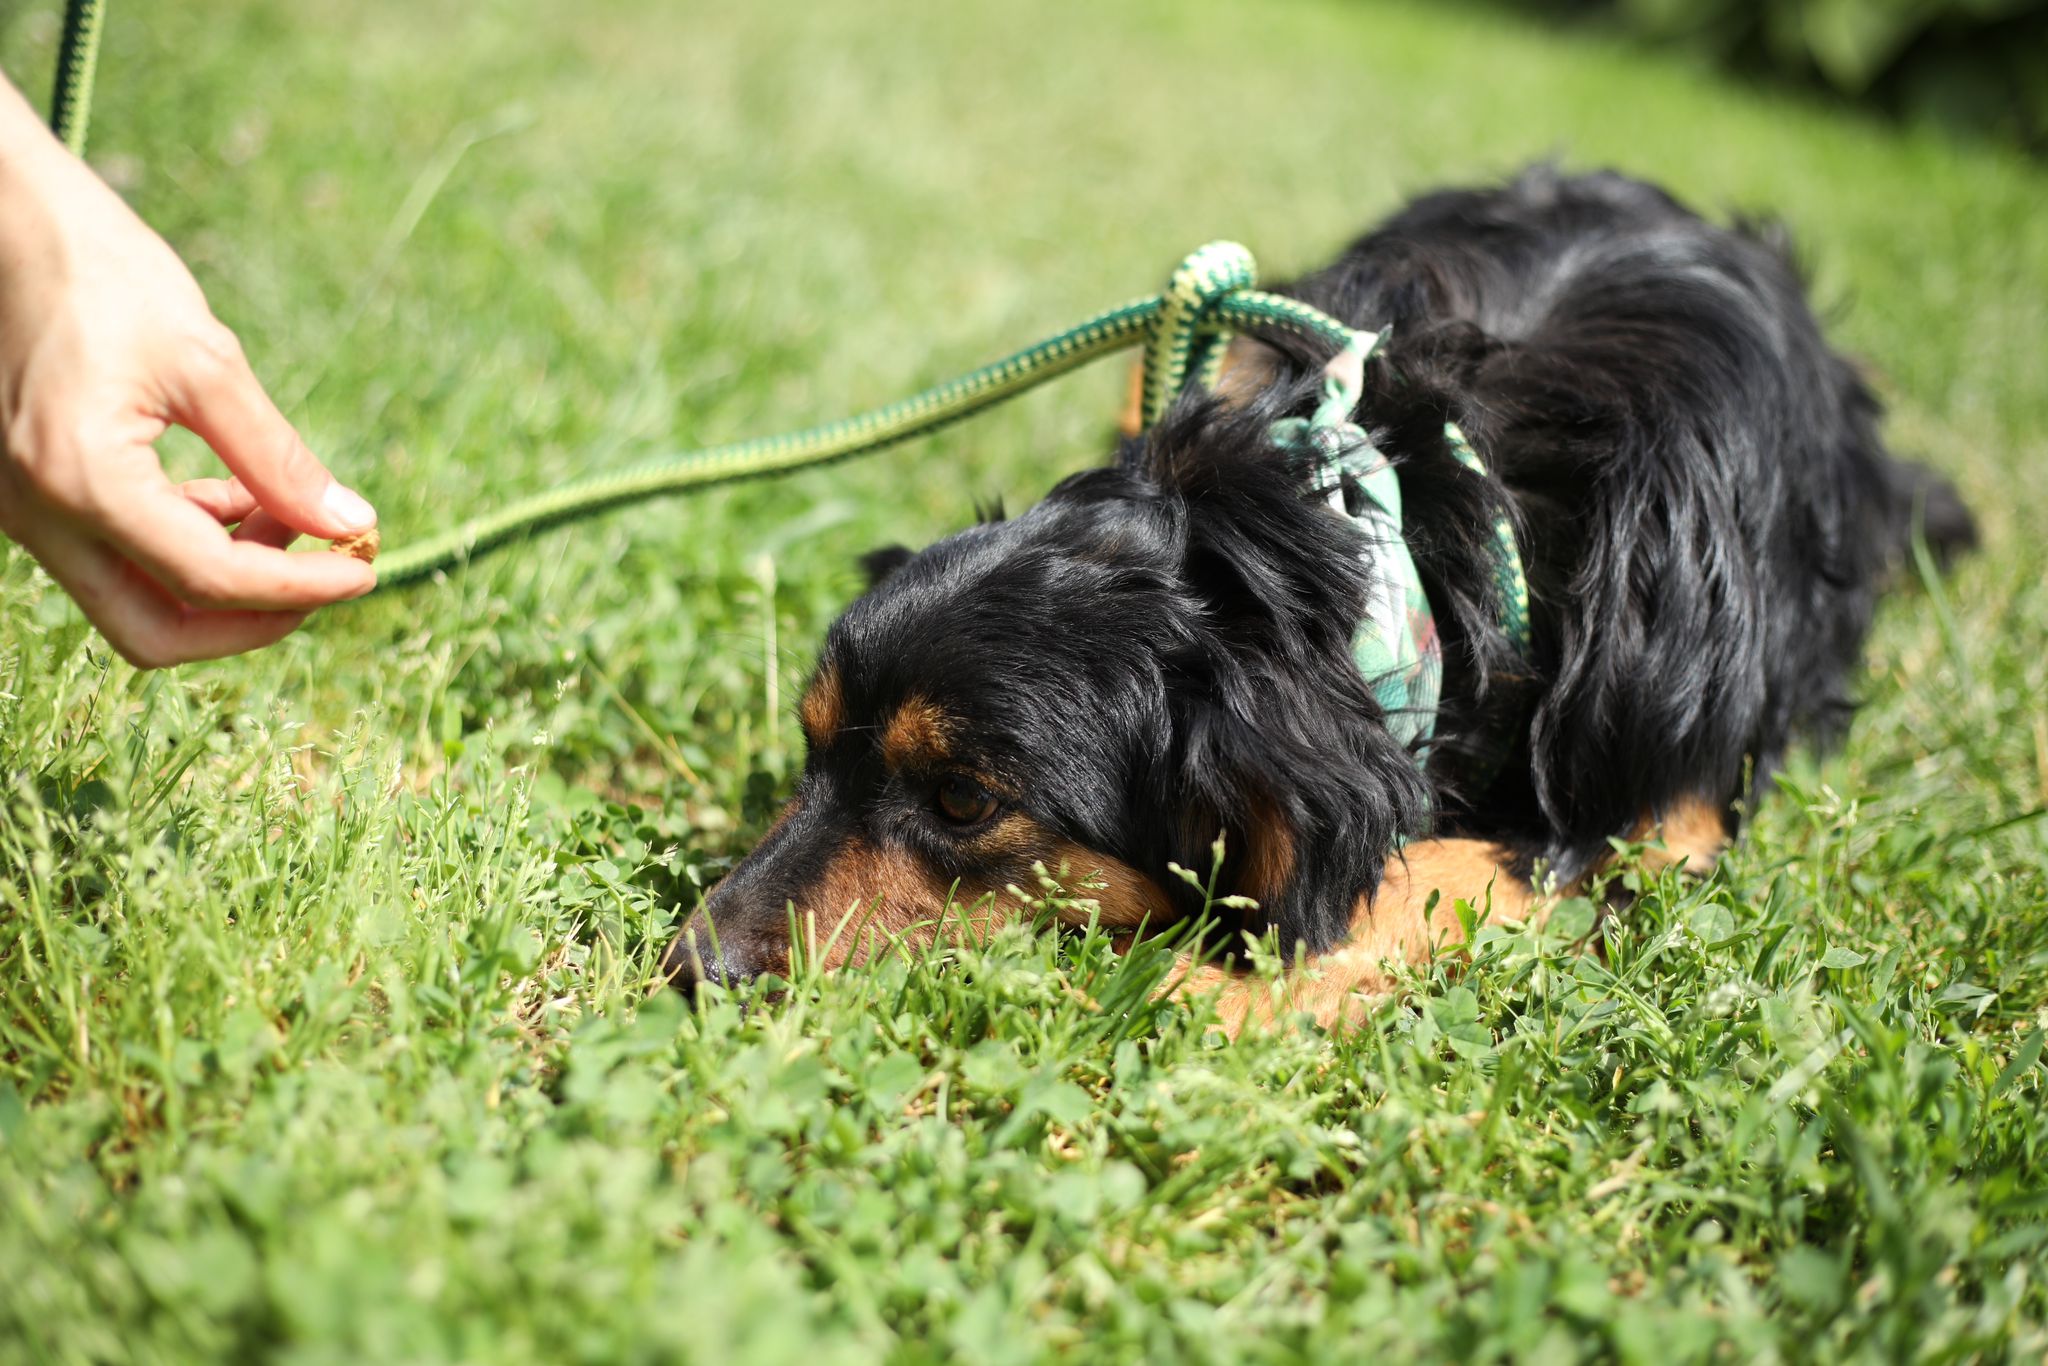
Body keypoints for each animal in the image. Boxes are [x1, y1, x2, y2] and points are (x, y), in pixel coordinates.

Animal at [662, 166, 1974, 1028]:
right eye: (809, 746)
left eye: (963, 801)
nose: (691, 968)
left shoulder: (1671, 806)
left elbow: (1433, 873)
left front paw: (1226, 990)